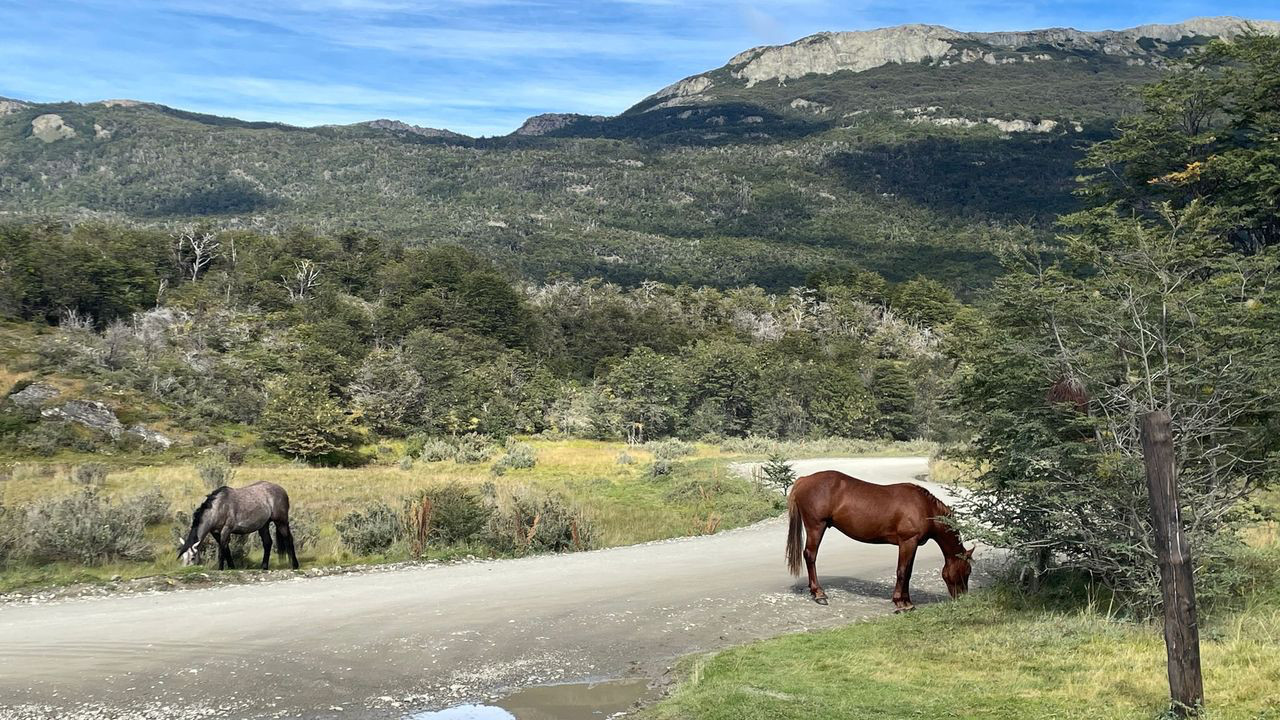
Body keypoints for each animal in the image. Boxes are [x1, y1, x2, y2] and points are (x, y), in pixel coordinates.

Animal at [785, 470, 973, 610]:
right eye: (967, 571)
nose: (963, 597)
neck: (924, 508)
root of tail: (804, 480)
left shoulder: (912, 545)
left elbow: (908, 572)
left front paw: (908, 602)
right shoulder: (907, 542)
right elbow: (902, 571)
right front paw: (900, 603)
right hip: (816, 526)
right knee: (810, 555)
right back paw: (819, 594)